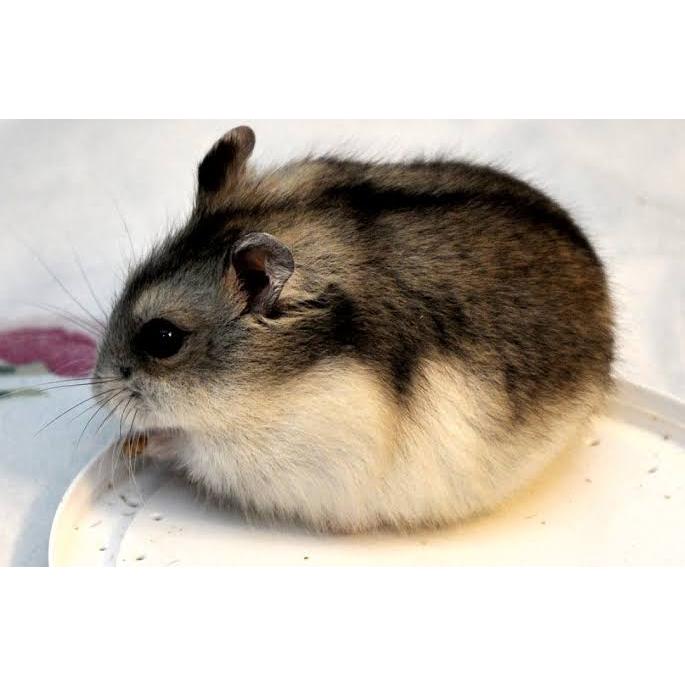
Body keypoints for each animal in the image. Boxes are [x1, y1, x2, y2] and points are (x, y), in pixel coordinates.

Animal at [94, 125, 614, 532]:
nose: (99, 390)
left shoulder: (261, 455)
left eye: (162, 339)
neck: (256, 387)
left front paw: (143, 441)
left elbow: (186, 443)